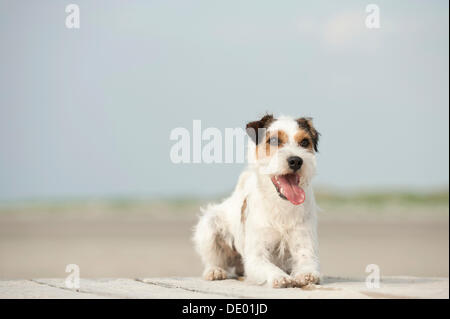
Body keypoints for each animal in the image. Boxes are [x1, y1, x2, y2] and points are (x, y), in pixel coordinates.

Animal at [193, 115, 320, 290]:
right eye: (274, 140)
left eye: (305, 142)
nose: (296, 161)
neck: (280, 204)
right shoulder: (256, 256)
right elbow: (269, 267)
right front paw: (280, 276)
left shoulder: (305, 246)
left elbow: (307, 263)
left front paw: (306, 275)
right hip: (209, 225)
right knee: (213, 259)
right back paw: (214, 271)